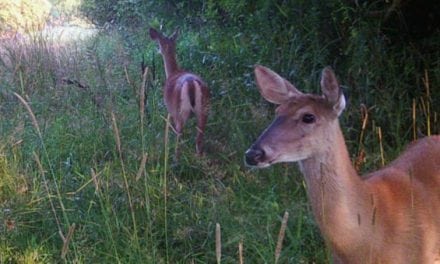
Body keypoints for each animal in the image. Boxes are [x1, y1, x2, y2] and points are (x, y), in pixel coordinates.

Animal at [150, 28, 210, 158]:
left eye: (159, 44)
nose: (158, 51)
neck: (173, 72)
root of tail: (191, 84)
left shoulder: (171, 110)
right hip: (204, 109)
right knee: (199, 137)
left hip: (180, 111)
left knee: (179, 135)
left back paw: (175, 157)